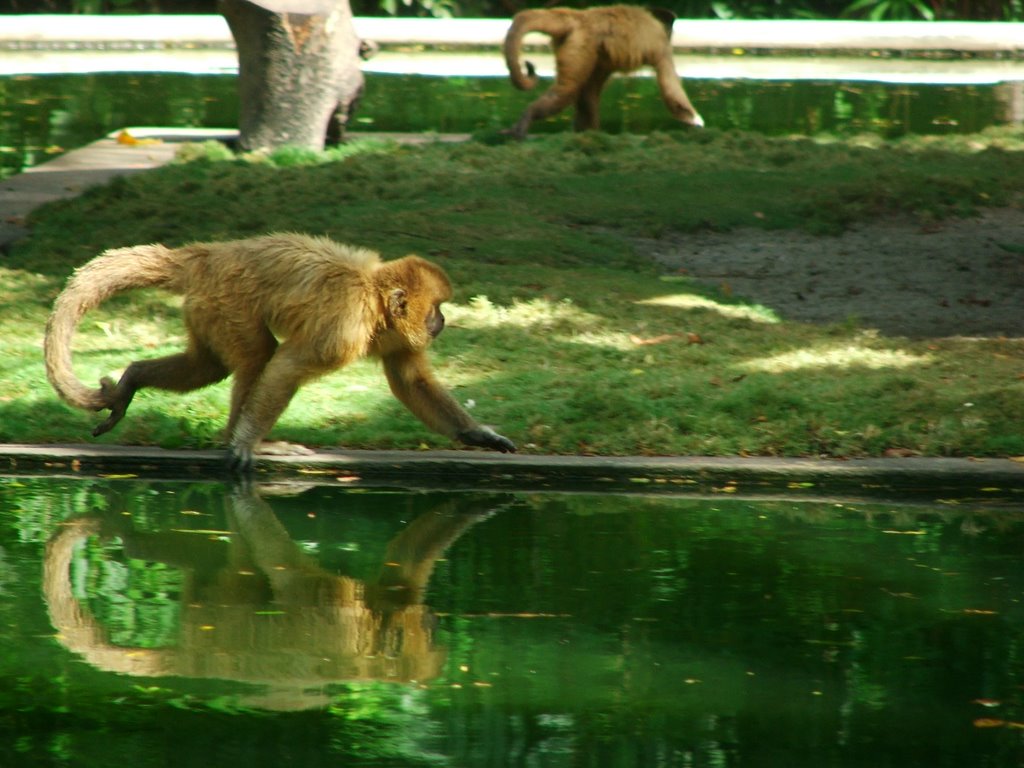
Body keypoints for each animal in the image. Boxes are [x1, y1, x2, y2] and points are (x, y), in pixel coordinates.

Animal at [44, 231, 516, 473]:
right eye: (436, 310)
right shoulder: (346, 325)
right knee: (258, 357)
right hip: (226, 301)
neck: (373, 296)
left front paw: (477, 435)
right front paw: (246, 443)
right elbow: (287, 366)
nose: (442, 322)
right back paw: (242, 438)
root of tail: (208, 255)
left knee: (208, 365)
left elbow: (409, 379)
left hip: (206, 305)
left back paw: (133, 378)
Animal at [501, 4, 704, 138]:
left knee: (584, 93)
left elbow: (589, 93)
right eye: (669, 26)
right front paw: (695, 120)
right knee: (566, 91)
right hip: (582, 41)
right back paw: (526, 120)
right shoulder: (661, 43)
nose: (670, 32)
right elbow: (670, 87)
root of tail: (582, 17)